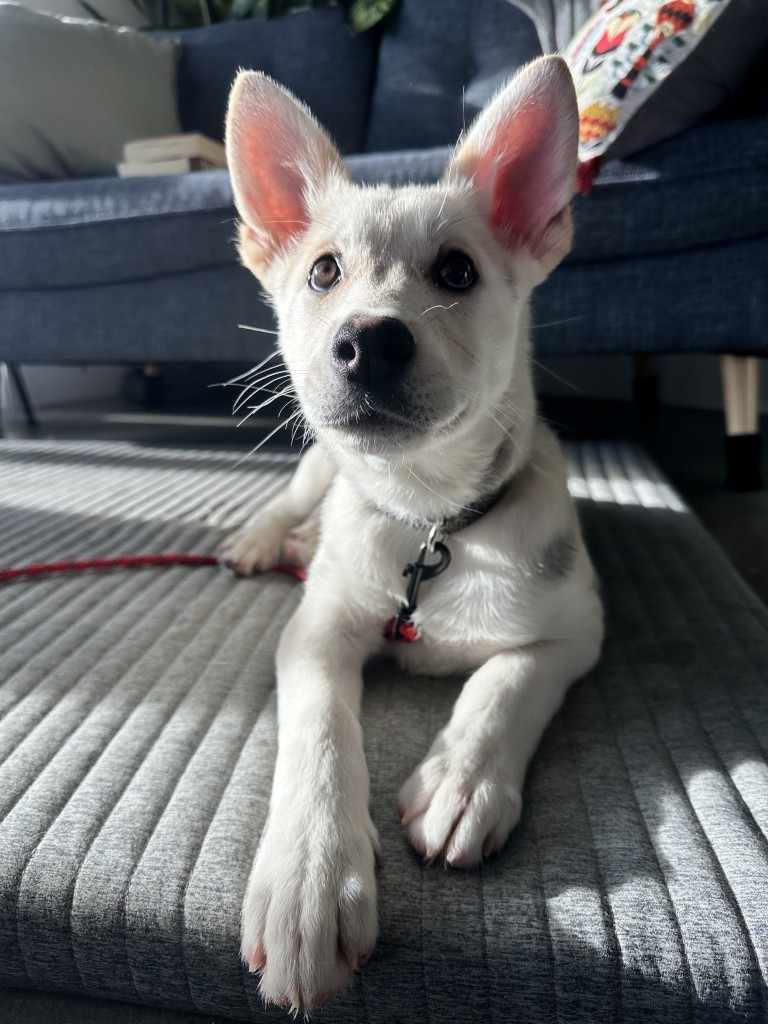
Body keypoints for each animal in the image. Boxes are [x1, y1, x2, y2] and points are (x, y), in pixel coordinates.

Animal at [220, 55, 604, 1013]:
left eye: (458, 271)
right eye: (323, 272)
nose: (369, 342)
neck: (429, 517)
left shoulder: (579, 626)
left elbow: (508, 679)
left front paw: (464, 780)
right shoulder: (315, 632)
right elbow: (321, 726)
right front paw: (312, 878)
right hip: (317, 464)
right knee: (291, 498)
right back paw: (265, 539)